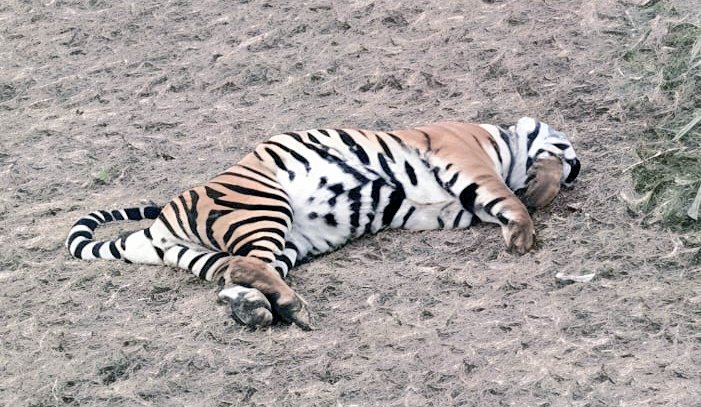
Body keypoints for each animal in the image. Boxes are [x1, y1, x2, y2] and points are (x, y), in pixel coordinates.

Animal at [66, 117, 580, 330]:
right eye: (570, 145)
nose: (578, 167)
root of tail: (155, 228)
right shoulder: (465, 159)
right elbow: (507, 195)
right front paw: (524, 230)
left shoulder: (457, 205)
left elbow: (511, 195)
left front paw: (537, 194)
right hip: (265, 206)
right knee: (246, 266)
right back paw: (294, 309)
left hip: (273, 245)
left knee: (236, 273)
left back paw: (257, 310)